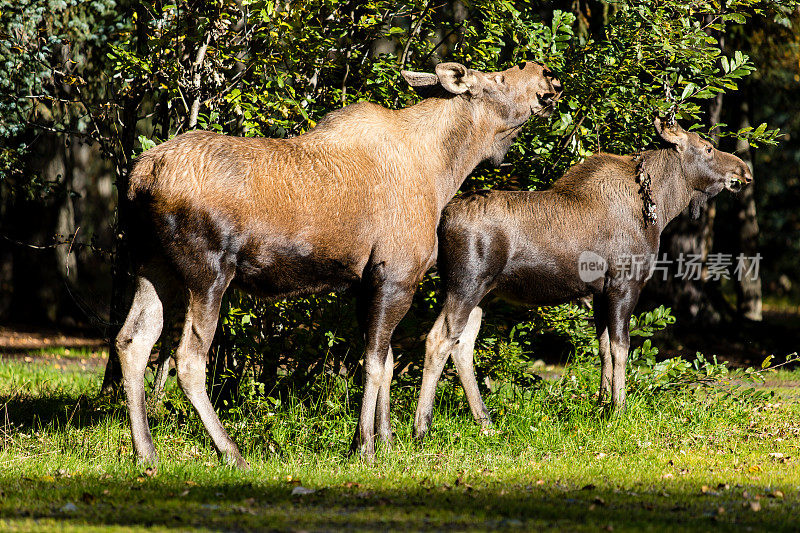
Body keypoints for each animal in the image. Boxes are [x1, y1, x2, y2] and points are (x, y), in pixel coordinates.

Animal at [117, 60, 564, 464]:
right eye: (499, 78)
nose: (546, 73)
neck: (443, 170)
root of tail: (139, 178)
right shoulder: (396, 274)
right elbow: (374, 364)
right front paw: (365, 446)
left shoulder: (366, 282)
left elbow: (385, 362)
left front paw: (384, 440)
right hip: (208, 273)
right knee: (188, 359)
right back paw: (230, 452)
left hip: (152, 266)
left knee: (132, 341)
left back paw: (146, 453)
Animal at [416, 116, 752, 436]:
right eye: (708, 148)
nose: (745, 170)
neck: (663, 208)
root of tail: (442, 222)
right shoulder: (624, 283)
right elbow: (621, 348)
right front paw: (619, 408)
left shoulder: (600, 292)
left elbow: (603, 348)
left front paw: (602, 405)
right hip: (466, 285)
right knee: (438, 340)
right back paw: (422, 427)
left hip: (482, 293)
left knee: (462, 346)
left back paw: (485, 422)